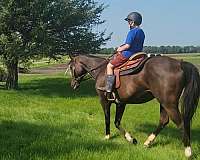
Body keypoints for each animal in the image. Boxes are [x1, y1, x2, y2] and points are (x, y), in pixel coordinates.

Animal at [67, 53, 200, 158]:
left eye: (71, 67)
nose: (73, 84)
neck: (101, 71)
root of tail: (179, 63)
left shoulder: (104, 101)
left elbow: (107, 119)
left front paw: (107, 136)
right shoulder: (121, 103)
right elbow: (117, 122)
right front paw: (131, 139)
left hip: (169, 104)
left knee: (181, 123)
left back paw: (188, 151)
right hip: (163, 103)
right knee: (164, 121)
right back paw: (148, 142)